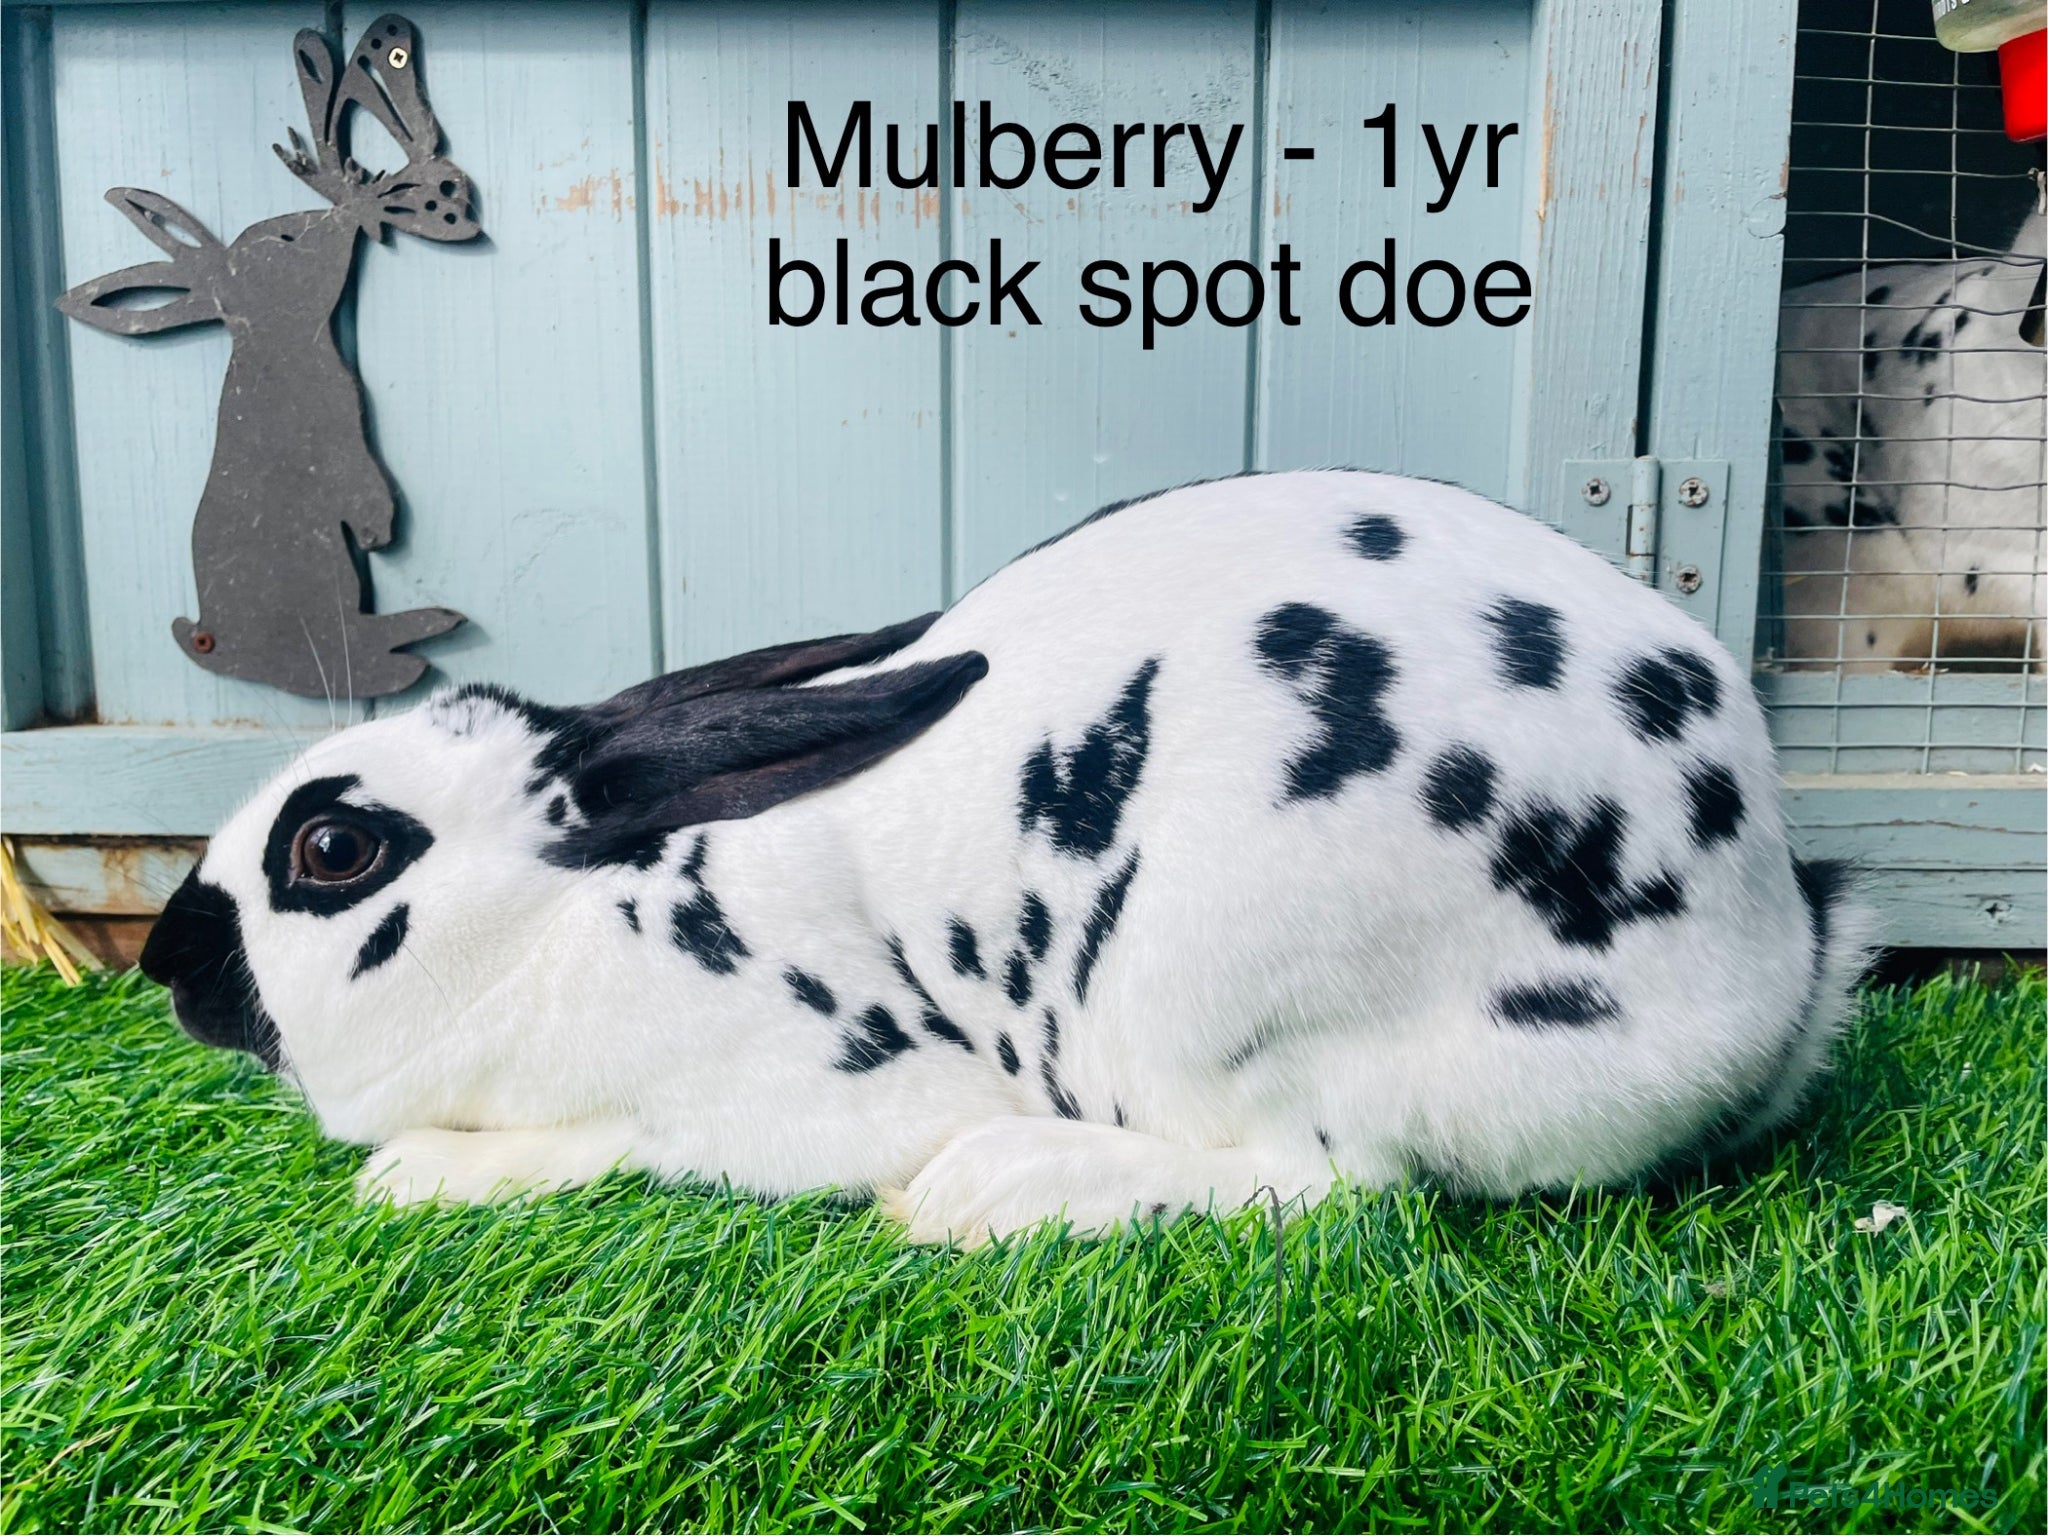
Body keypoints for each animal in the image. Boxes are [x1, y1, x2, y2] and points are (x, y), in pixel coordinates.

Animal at [56, 15, 477, 699]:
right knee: (339, 655)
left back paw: (423, 625)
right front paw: (379, 532)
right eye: (284, 239)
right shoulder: (339, 432)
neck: (279, 343)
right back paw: (401, 658)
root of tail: (208, 643)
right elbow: (361, 485)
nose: (345, 217)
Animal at [138, 470, 1874, 1247]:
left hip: (1213, 989)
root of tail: (1767, 977)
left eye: (334, 846)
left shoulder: (785, 1097)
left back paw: (989, 1190)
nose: (165, 961)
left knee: (1329, 1188)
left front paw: (420, 1174)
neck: (575, 914)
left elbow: (616, 1145)